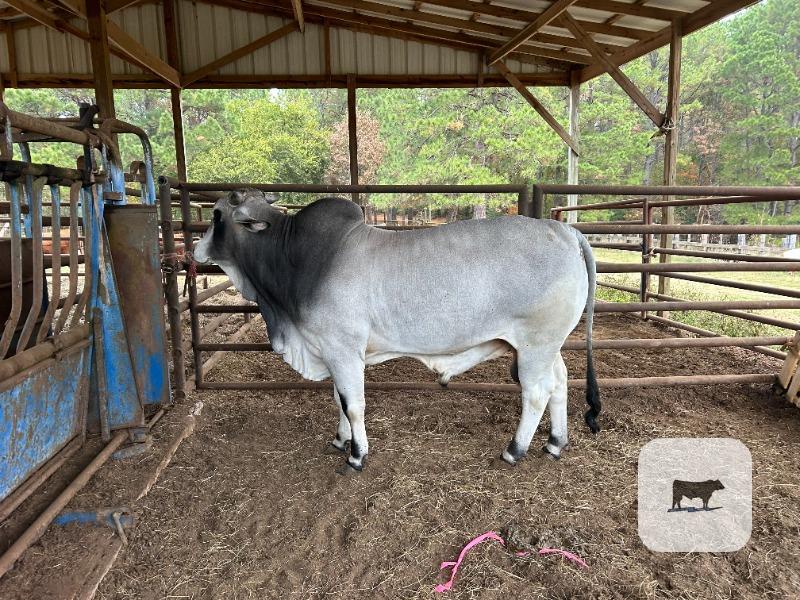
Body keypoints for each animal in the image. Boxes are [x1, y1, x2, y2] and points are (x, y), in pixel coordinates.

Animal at [193, 190, 601, 474]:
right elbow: (338, 400)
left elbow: (353, 404)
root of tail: (566, 230)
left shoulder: (343, 350)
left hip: (535, 344)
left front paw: (357, 455)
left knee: (536, 392)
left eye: (215, 215)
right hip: (548, 346)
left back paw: (515, 450)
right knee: (560, 382)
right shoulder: (330, 351)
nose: (194, 251)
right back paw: (555, 442)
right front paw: (341, 440)